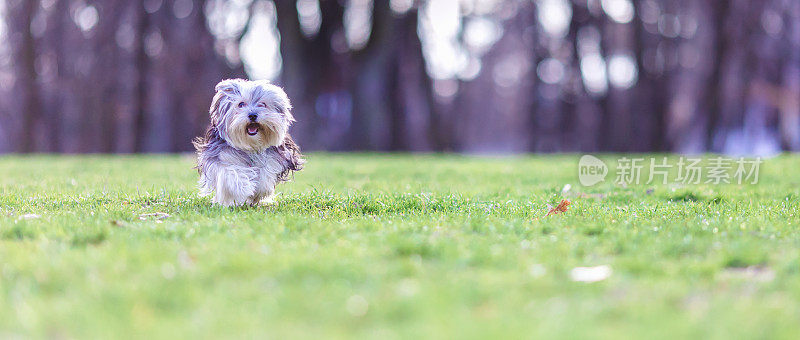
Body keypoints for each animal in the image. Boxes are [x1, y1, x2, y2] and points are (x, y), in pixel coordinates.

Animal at [193, 79, 304, 207]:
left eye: (263, 104)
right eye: (241, 104)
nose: (252, 115)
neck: (251, 145)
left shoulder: (277, 155)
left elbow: (266, 170)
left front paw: (259, 187)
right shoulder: (218, 155)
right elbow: (229, 170)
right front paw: (243, 187)